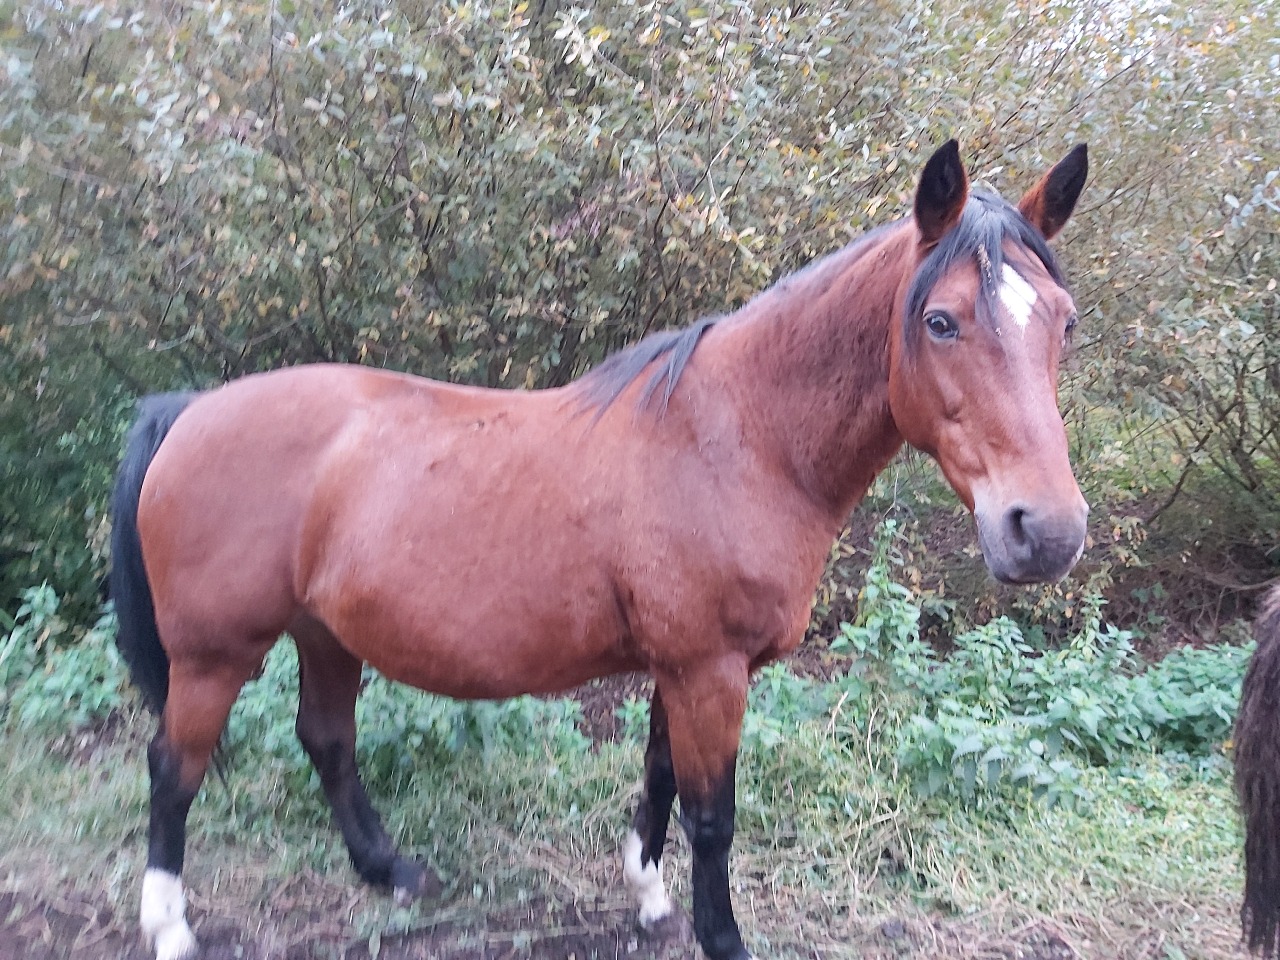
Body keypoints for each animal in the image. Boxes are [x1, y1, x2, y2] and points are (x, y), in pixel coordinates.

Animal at [109, 140, 1089, 960]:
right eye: (941, 322)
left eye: (1065, 323)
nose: (1045, 530)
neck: (740, 440)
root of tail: (189, 410)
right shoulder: (708, 669)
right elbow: (712, 814)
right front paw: (720, 938)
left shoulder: (681, 667)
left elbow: (659, 780)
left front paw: (650, 899)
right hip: (213, 654)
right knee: (173, 769)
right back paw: (170, 926)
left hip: (323, 632)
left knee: (326, 741)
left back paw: (391, 873)